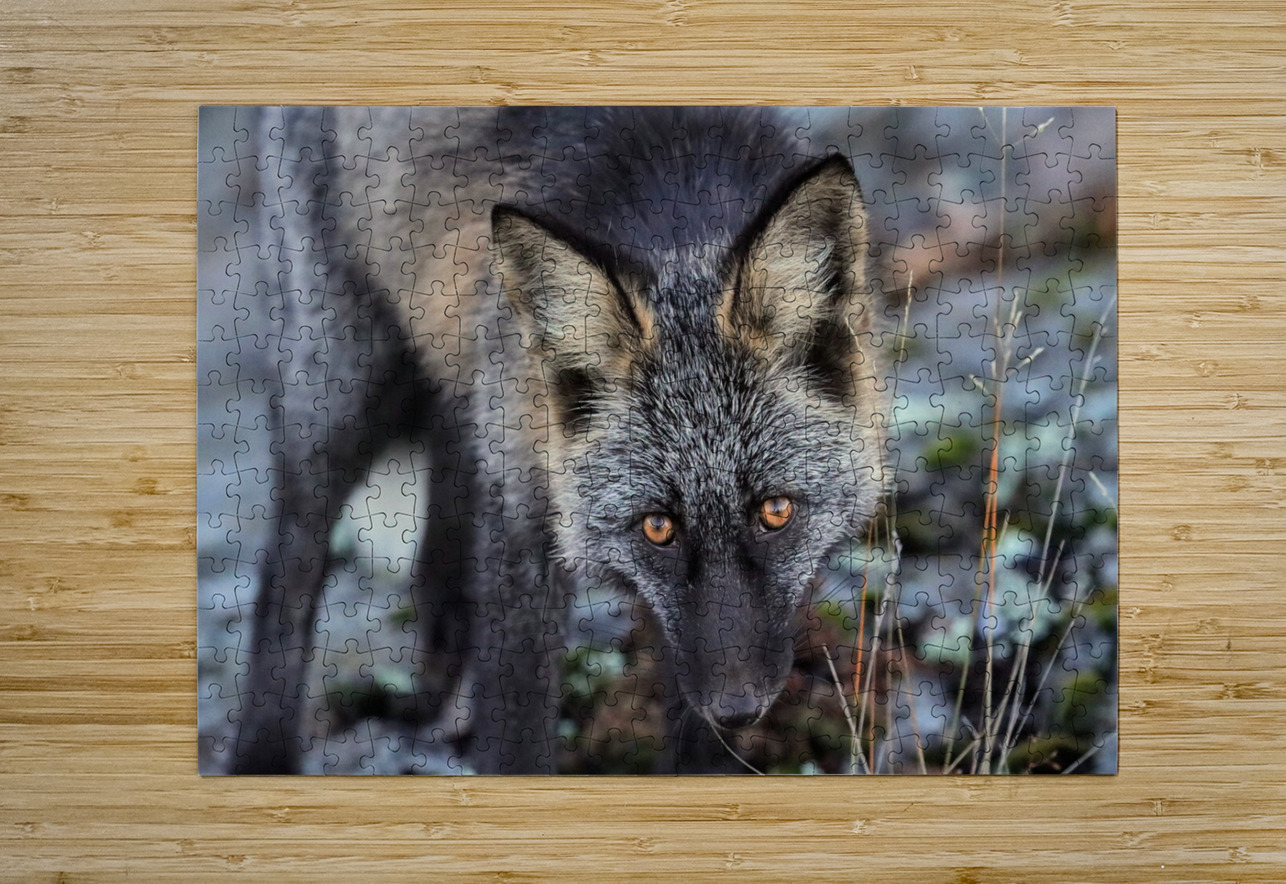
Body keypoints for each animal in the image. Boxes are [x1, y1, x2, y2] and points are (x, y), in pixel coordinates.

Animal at [225, 107, 887, 774]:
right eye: (657, 527)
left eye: (776, 512)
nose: (736, 707)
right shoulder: (521, 524)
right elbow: (517, 734)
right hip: (343, 393)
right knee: (288, 569)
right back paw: (263, 750)